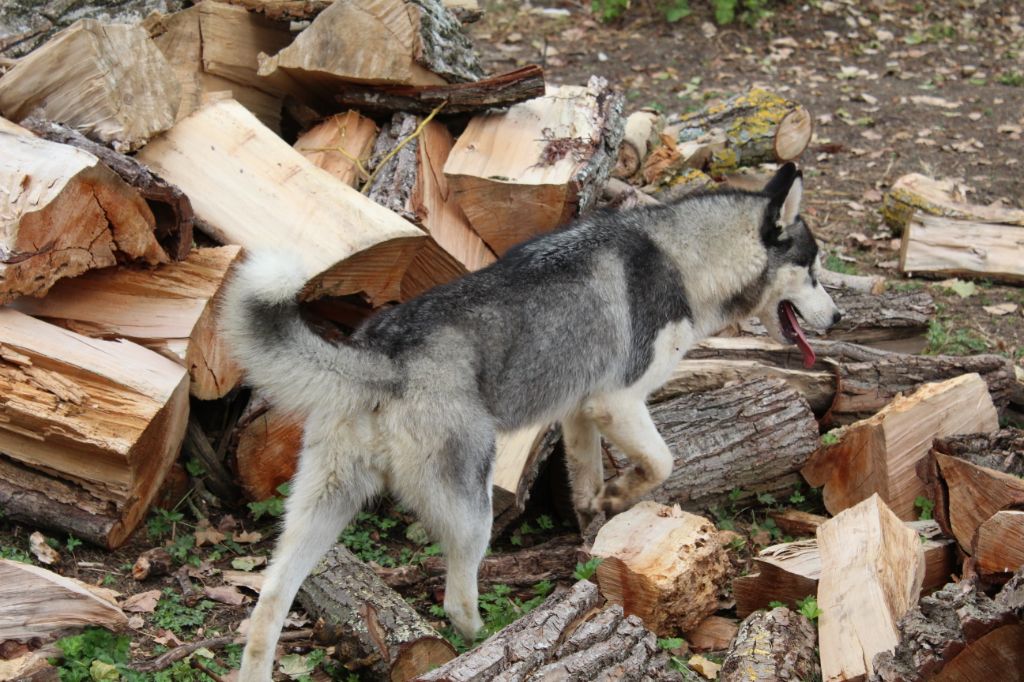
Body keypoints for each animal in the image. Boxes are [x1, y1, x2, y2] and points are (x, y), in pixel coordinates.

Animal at [221, 162, 841, 679]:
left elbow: (589, 484)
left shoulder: (580, 411)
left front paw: (596, 524)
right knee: (457, 602)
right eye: (812, 270)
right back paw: (491, 640)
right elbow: (662, 462)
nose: (837, 318)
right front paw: (620, 496)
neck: (680, 257)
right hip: (473, 514)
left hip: (320, 510)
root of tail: (383, 353)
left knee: (269, 603)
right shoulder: (618, 400)